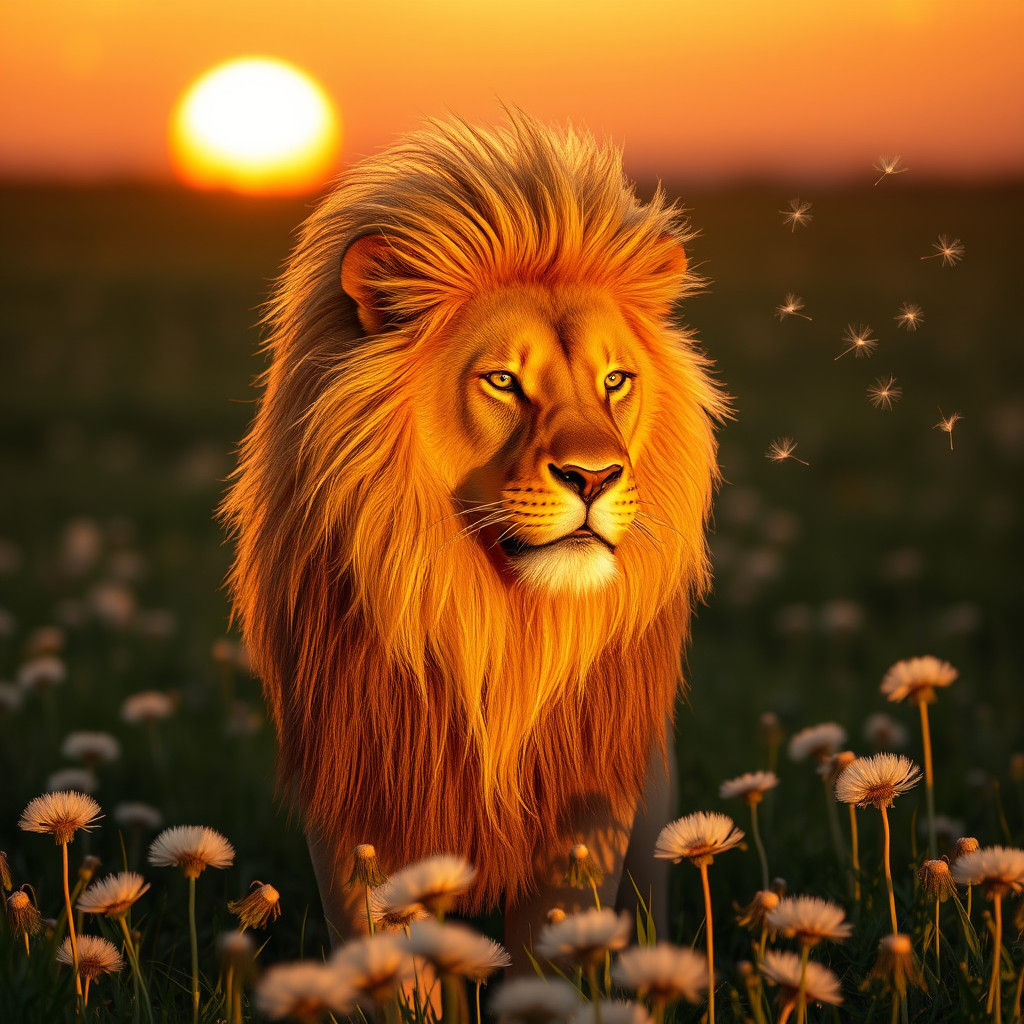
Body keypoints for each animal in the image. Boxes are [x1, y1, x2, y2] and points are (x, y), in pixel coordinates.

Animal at [221, 112, 726, 956]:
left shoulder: (584, 801)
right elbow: (385, 952)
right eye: (502, 381)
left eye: (615, 380)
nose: (594, 477)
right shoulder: (362, 788)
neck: (490, 621)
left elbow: (558, 947)